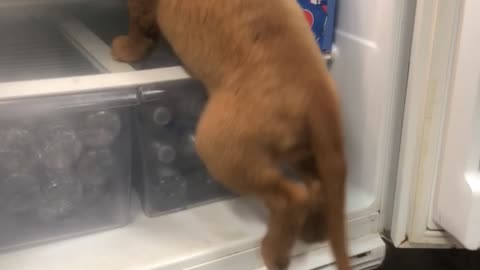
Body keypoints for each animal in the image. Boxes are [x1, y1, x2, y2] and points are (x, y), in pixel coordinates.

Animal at [111, 1, 348, 268]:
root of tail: (317, 91)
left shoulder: (142, 7)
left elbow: (138, 26)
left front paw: (127, 48)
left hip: (220, 150)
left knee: (292, 197)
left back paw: (274, 253)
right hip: (297, 149)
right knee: (316, 186)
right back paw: (311, 231)